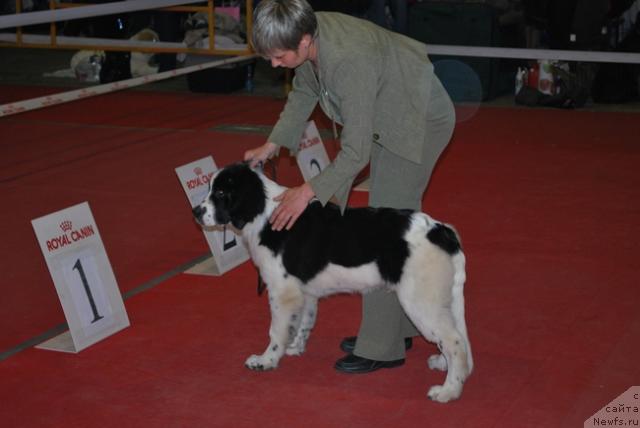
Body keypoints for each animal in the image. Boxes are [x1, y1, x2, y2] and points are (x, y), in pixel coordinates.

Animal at [192, 163, 472, 402]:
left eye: (220, 192)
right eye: (210, 189)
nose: (195, 212)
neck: (265, 214)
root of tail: (442, 231)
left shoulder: (282, 291)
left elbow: (276, 331)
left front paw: (266, 360)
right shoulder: (303, 292)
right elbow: (303, 322)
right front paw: (294, 347)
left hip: (420, 302)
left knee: (454, 342)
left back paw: (448, 391)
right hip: (444, 300)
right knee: (458, 337)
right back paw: (444, 366)